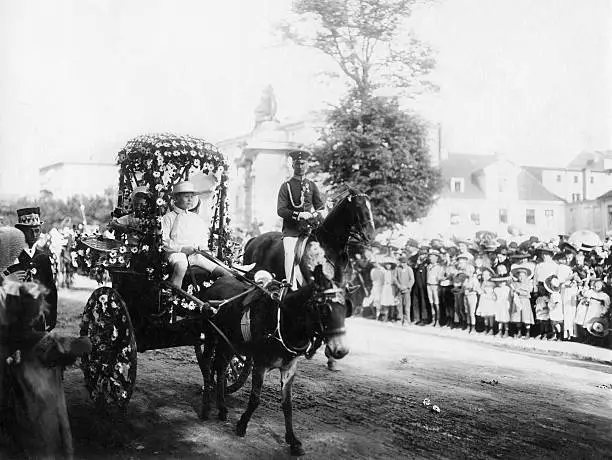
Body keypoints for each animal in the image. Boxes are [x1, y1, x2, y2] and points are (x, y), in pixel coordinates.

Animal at [201, 264, 350, 458]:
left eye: (346, 309)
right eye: (324, 309)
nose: (341, 350)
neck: (283, 320)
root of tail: (215, 284)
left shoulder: (289, 369)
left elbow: (287, 405)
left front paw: (293, 441)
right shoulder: (260, 365)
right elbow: (255, 399)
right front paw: (242, 425)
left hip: (228, 343)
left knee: (220, 368)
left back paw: (222, 407)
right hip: (211, 336)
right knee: (207, 365)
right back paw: (206, 405)